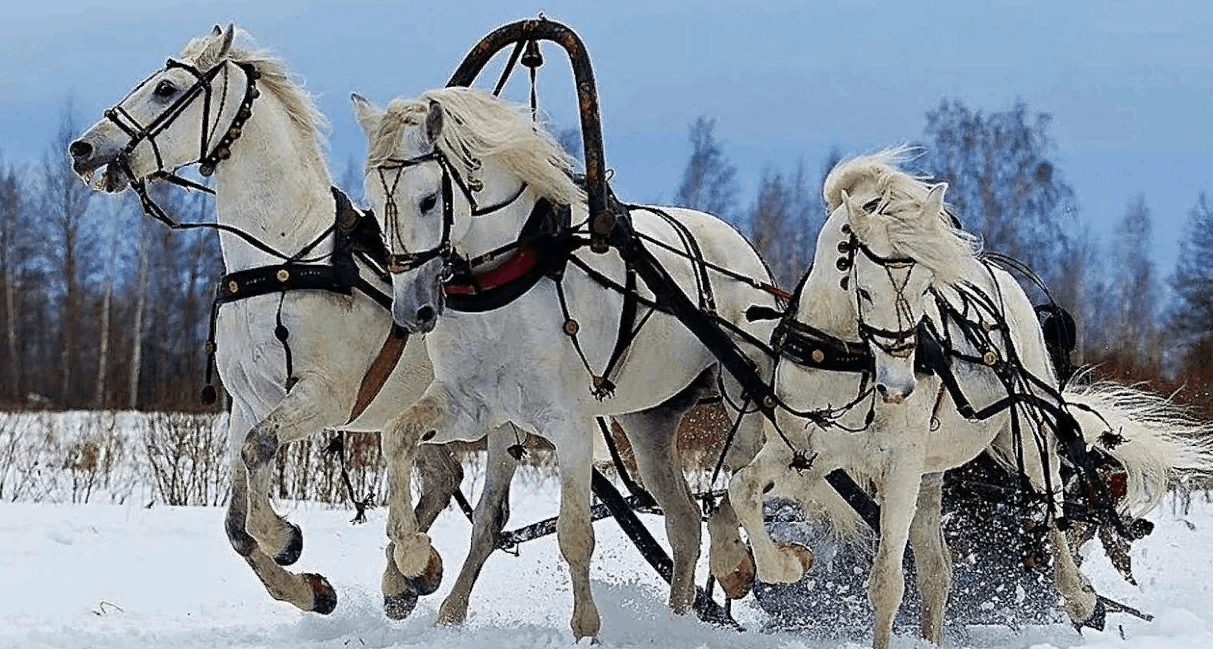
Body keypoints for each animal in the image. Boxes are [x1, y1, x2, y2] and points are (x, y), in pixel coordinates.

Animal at [66, 24, 492, 613]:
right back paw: (409, 578)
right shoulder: (248, 402)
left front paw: (284, 537)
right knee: (443, 474)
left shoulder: (324, 396)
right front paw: (308, 589)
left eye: (166, 88)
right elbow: (235, 520)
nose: (82, 148)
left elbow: (258, 452)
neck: (282, 261)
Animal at [351, 87, 776, 640]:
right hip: (649, 421)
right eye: (373, 203)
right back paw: (678, 619)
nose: (412, 310)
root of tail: (742, 247)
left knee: (744, 477)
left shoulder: (569, 423)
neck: (503, 282)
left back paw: (734, 561)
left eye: (427, 199)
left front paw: (586, 628)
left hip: (741, 394)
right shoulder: (475, 407)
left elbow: (575, 533)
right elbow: (415, 451)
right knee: (683, 521)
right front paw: (420, 569)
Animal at [727, 149, 1213, 649]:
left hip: (1026, 437)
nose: (899, 389)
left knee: (1053, 506)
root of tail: (996, 274)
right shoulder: (806, 454)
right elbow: (743, 488)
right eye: (861, 287)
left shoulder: (898, 465)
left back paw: (1079, 595)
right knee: (937, 571)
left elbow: (886, 582)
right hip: (929, 474)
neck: (843, 359)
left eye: (925, 287)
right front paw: (786, 561)